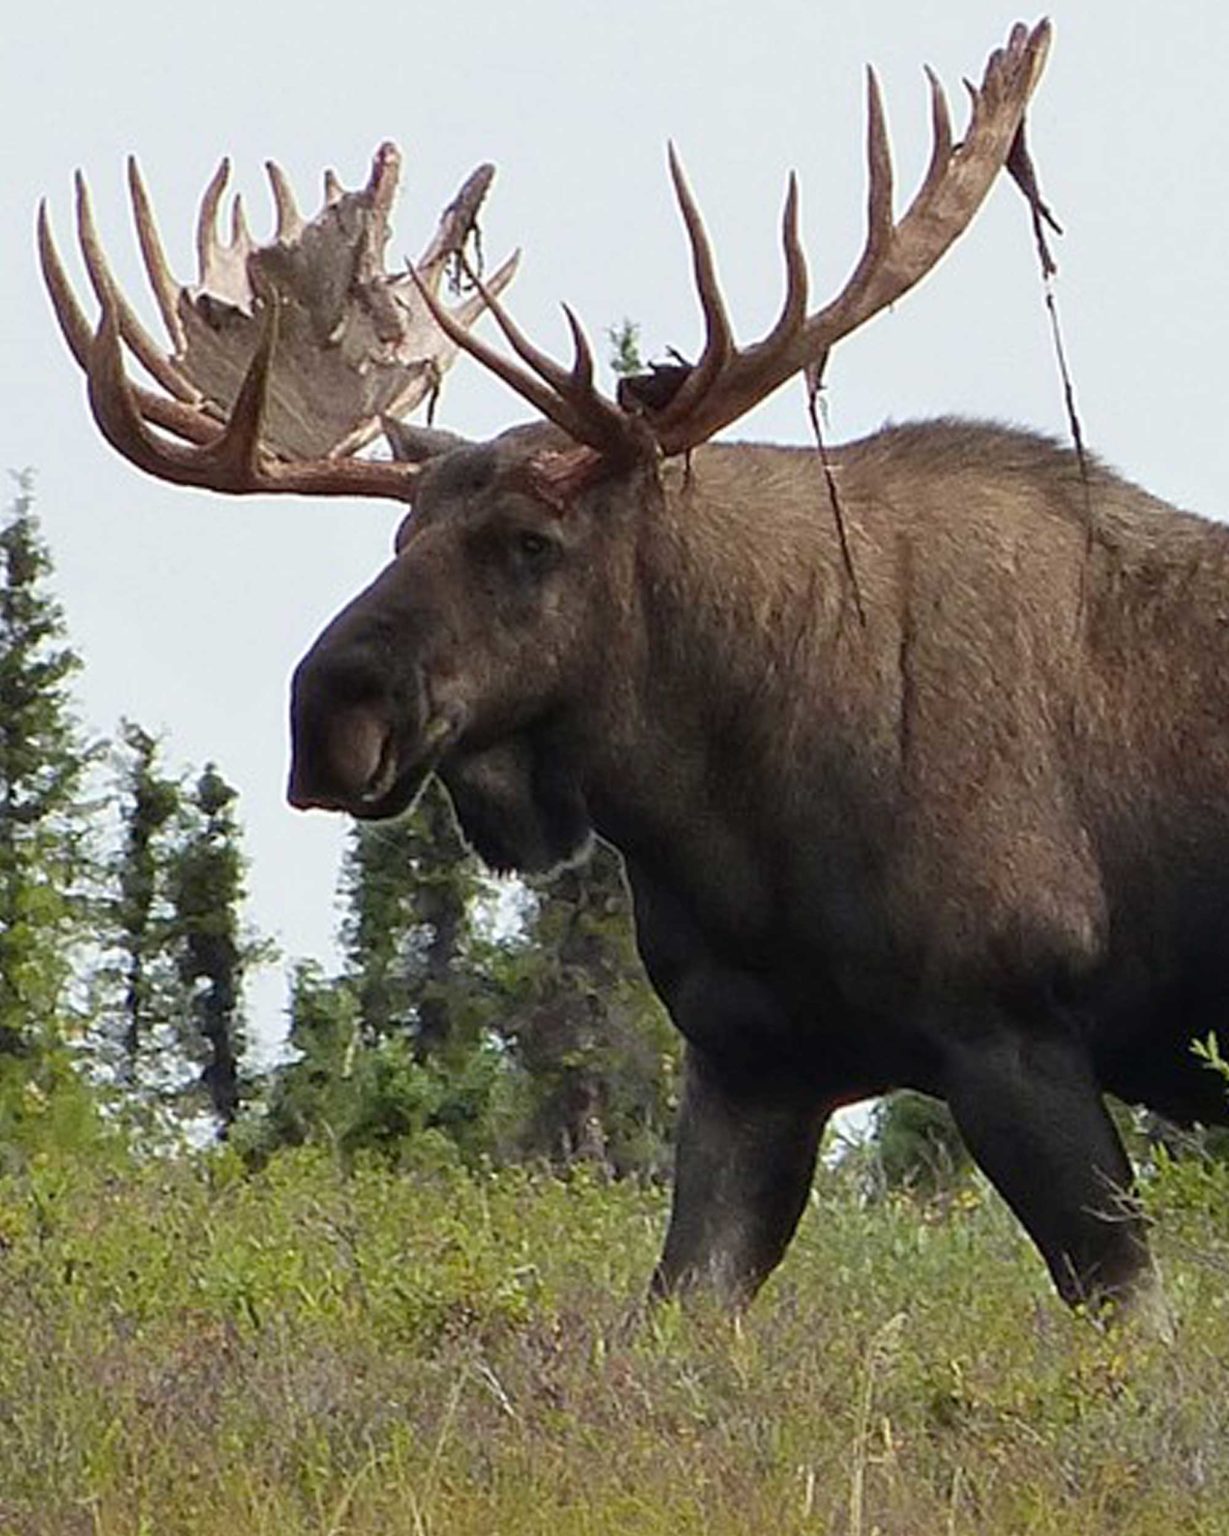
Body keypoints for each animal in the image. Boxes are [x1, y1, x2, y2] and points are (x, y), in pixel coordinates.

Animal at [42, 21, 1221, 1323]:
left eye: (529, 542)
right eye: (399, 538)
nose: (329, 713)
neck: (737, 812)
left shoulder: (1010, 1027)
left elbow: (1129, 1311)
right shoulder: (750, 1059)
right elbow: (671, 1311)